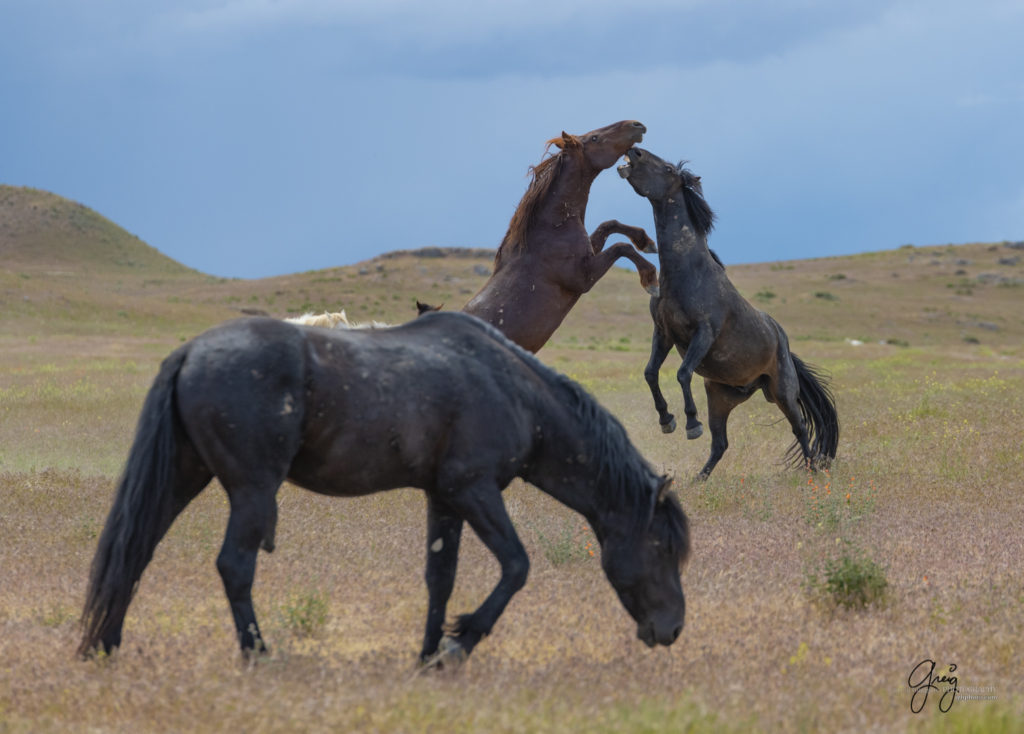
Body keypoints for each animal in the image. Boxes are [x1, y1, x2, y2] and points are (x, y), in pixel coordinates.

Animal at [77, 309, 688, 663]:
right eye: (662, 548)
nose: (672, 629)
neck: (513, 391)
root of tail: (191, 352)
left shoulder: (444, 498)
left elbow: (440, 578)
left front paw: (427, 653)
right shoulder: (475, 490)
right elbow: (516, 567)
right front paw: (459, 644)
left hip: (184, 477)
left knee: (136, 551)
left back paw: (106, 646)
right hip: (251, 491)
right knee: (234, 566)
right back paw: (258, 653)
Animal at [462, 119, 655, 352]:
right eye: (595, 138)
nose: (636, 125)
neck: (550, 229)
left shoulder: (588, 254)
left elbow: (609, 225)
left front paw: (645, 241)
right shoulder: (583, 278)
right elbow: (621, 247)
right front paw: (651, 280)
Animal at [614, 148, 839, 481]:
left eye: (667, 169)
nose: (635, 152)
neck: (686, 274)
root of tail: (783, 342)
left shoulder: (704, 333)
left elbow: (682, 373)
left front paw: (690, 424)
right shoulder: (663, 333)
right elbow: (650, 372)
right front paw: (667, 420)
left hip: (783, 392)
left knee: (800, 429)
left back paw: (812, 473)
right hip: (721, 398)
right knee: (720, 443)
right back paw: (698, 480)